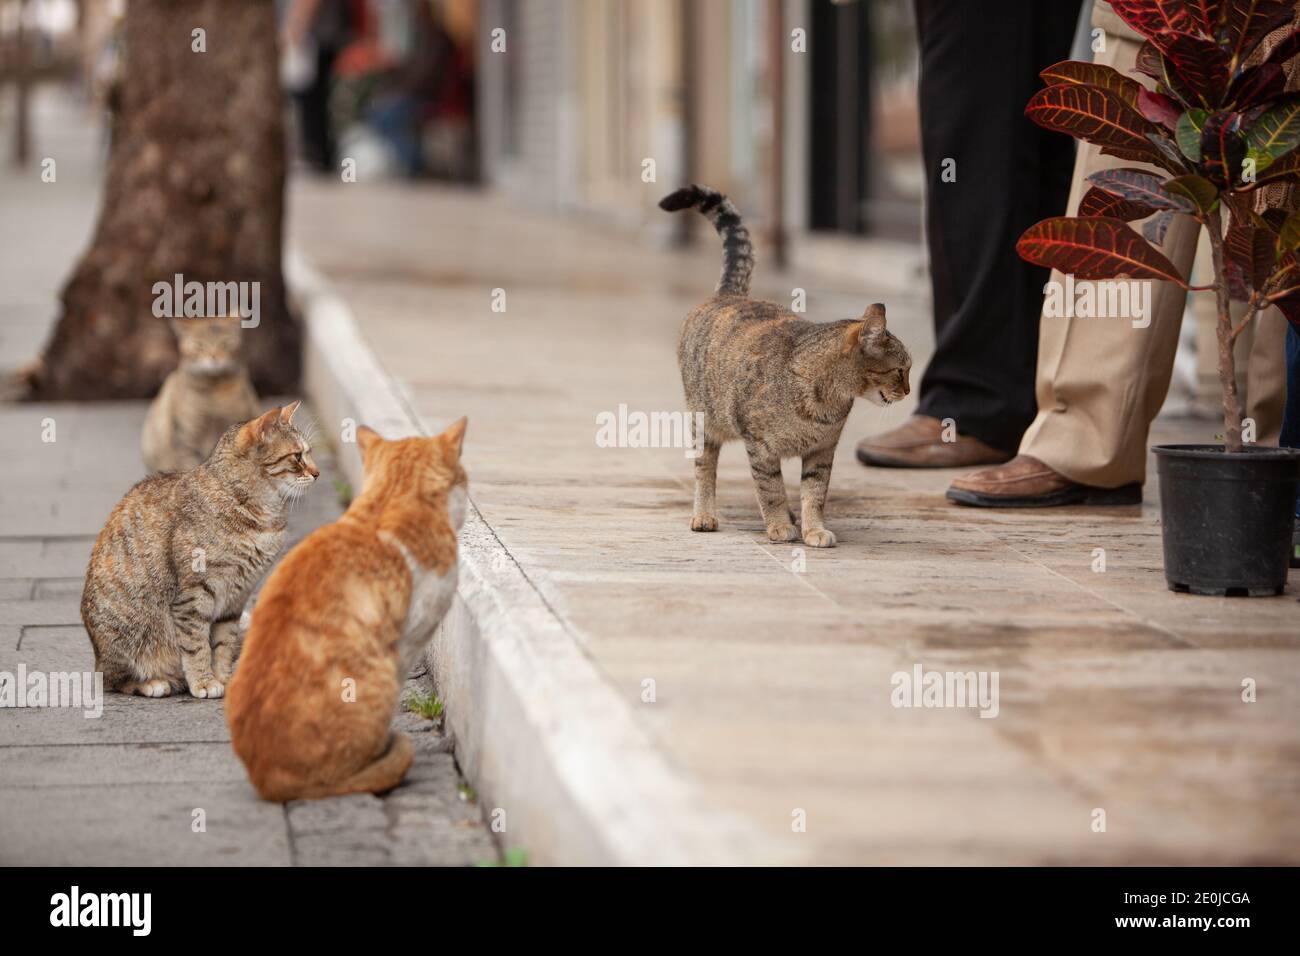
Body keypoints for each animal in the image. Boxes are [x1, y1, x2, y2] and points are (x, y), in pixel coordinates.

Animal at [84, 400, 317, 697]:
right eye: (297, 456)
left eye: (309, 453)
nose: (317, 473)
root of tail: (97, 654)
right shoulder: (193, 595)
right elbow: (196, 645)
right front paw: (204, 681)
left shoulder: (235, 598)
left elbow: (224, 644)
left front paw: (224, 679)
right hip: (125, 637)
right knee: (113, 679)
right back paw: (153, 682)